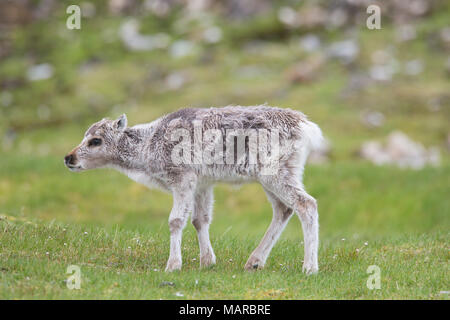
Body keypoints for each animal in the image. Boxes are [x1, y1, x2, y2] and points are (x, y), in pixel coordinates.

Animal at [65, 106, 322, 274]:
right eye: (84, 135)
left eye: (95, 141)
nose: (69, 158)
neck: (148, 147)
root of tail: (307, 127)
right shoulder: (203, 183)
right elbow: (200, 220)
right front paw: (207, 261)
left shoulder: (182, 178)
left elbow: (176, 220)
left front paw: (173, 265)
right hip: (273, 175)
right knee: (283, 209)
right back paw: (254, 261)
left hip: (274, 172)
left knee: (306, 204)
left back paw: (309, 267)